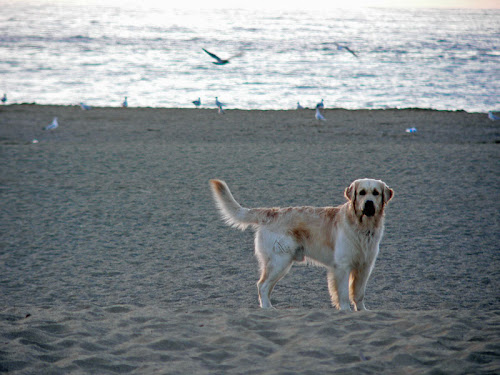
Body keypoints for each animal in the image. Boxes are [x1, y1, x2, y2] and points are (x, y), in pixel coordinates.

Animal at [209, 179, 392, 312]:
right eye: (361, 193)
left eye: (376, 193)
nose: (369, 204)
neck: (362, 227)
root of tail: (271, 213)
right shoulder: (342, 267)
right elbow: (344, 294)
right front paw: (345, 311)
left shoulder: (365, 267)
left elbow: (359, 293)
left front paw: (363, 312)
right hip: (280, 262)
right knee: (262, 285)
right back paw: (268, 309)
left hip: (280, 265)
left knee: (266, 287)